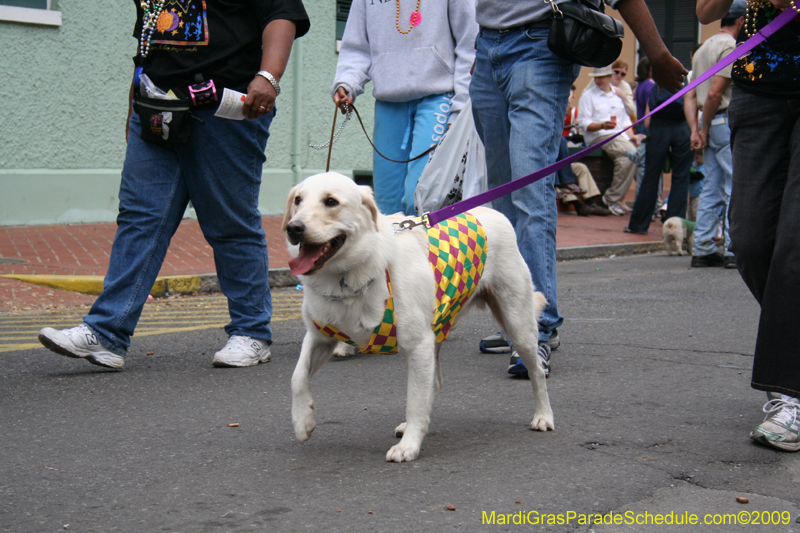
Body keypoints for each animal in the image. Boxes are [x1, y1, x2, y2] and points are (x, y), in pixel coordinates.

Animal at [284, 171, 552, 462]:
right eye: (298, 200)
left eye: (331, 201)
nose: (293, 228)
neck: (349, 276)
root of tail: (492, 211)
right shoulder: (319, 337)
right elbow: (297, 377)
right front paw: (302, 422)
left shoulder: (418, 346)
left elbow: (414, 400)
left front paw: (409, 446)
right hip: (437, 331)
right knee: (434, 383)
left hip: (517, 324)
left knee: (537, 371)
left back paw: (543, 416)